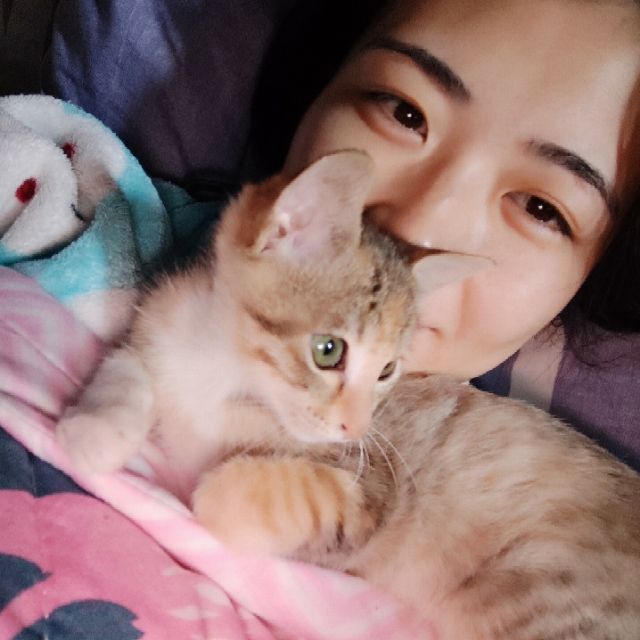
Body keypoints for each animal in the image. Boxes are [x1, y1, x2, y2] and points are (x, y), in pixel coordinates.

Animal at [57, 150, 640, 640]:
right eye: (328, 351)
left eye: (387, 370)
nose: (357, 427)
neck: (224, 368)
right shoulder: (158, 330)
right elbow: (126, 367)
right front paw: (93, 432)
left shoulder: (373, 492)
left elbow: (304, 494)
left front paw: (212, 494)